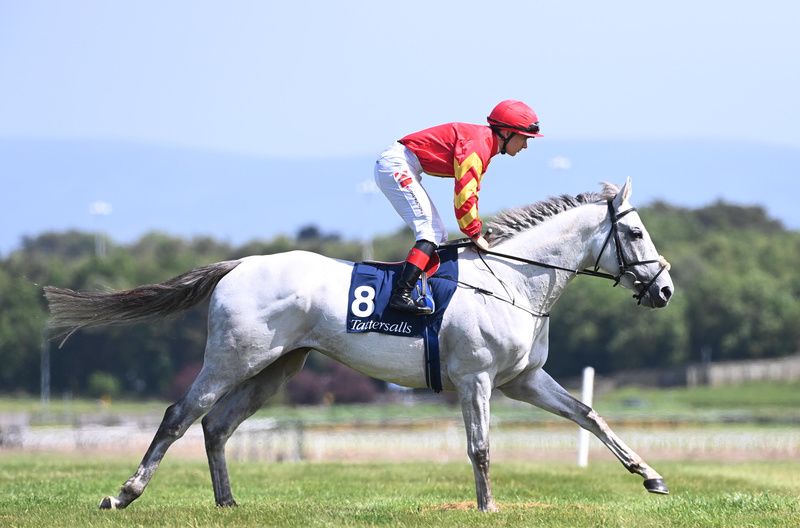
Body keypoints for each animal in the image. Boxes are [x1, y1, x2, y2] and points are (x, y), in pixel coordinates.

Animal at [44, 178, 673, 512]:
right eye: (635, 232)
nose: (664, 288)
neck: (514, 281)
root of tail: (240, 264)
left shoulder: (522, 380)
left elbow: (588, 414)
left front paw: (650, 475)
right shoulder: (476, 378)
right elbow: (480, 447)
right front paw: (488, 505)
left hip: (278, 367)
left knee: (217, 425)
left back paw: (227, 502)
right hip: (233, 357)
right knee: (181, 413)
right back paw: (124, 493)